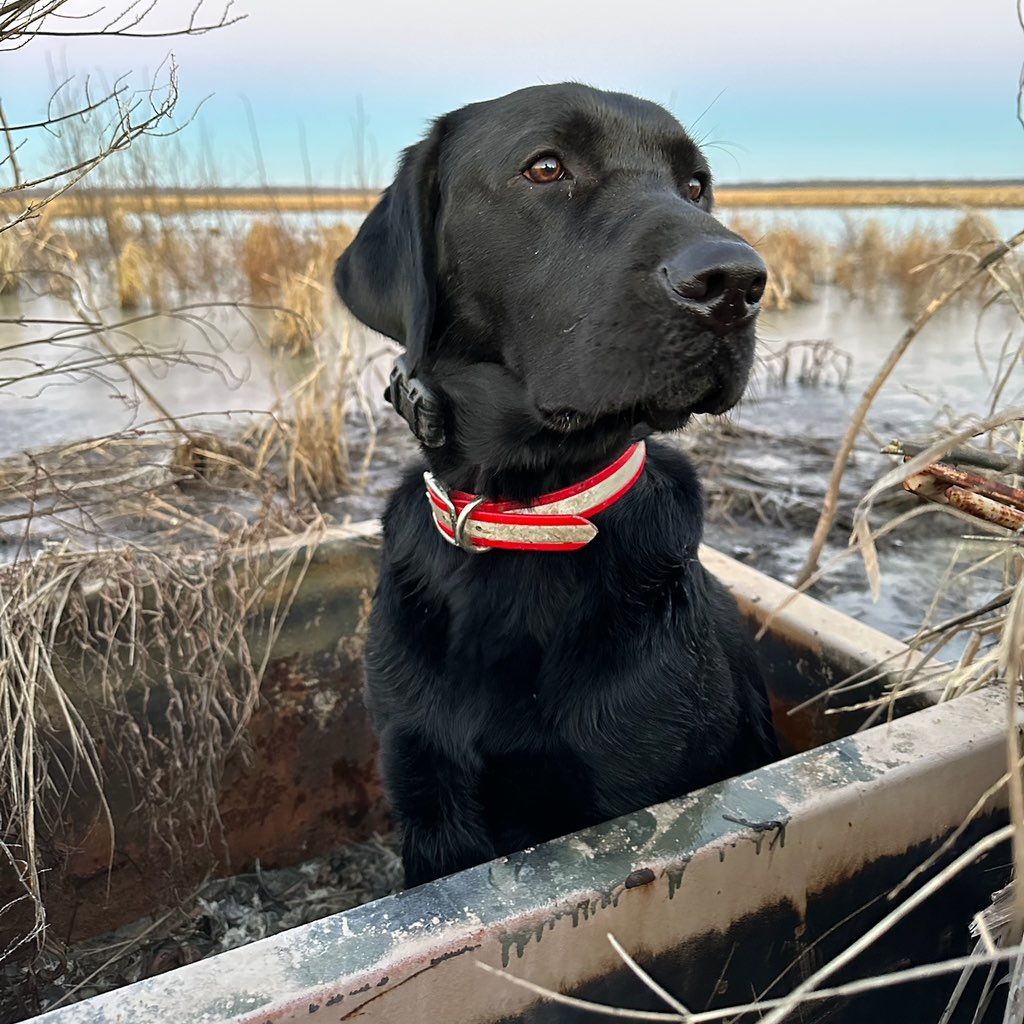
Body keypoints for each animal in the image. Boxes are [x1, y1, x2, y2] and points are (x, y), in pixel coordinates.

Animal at [333, 83, 774, 884]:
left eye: (695, 185)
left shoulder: (642, 780)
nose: (735, 282)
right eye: (546, 167)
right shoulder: (424, 787)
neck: (527, 513)